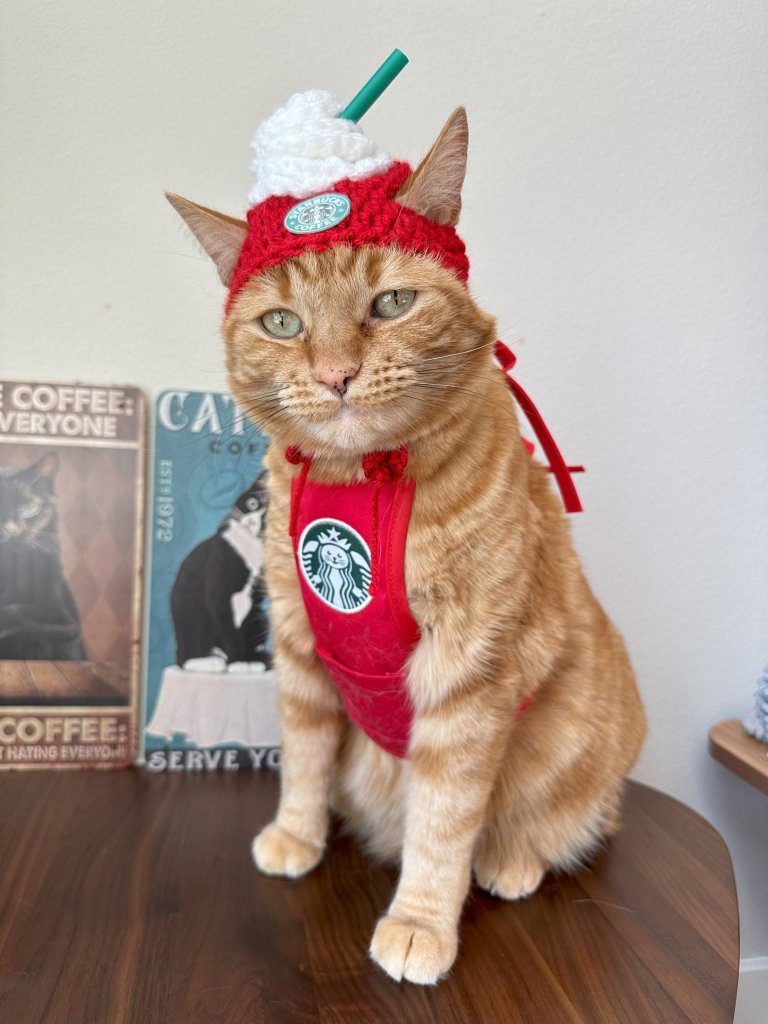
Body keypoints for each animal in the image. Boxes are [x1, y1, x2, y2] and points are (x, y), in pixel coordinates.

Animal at [169, 105, 651, 983]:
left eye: (391, 302)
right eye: (282, 323)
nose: (336, 375)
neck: (359, 479)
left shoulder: (467, 676)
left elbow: (445, 818)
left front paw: (422, 922)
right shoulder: (299, 646)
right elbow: (302, 757)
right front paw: (297, 835)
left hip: (581, 745)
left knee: (567, 822)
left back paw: (512, 861)